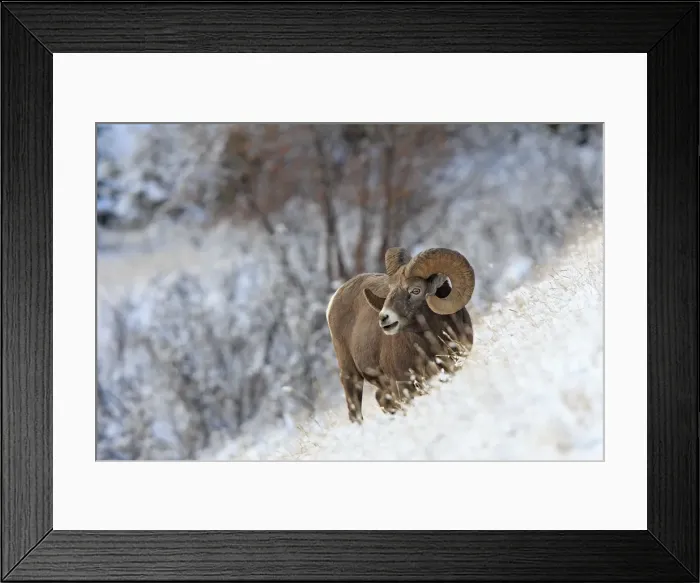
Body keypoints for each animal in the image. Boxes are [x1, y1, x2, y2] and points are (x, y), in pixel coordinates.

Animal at [326, 246, 475, 423]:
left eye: (416, 290)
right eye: (390, 290)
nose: (384, 318)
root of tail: (334, 299)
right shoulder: (403, 386)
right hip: (351, 375)